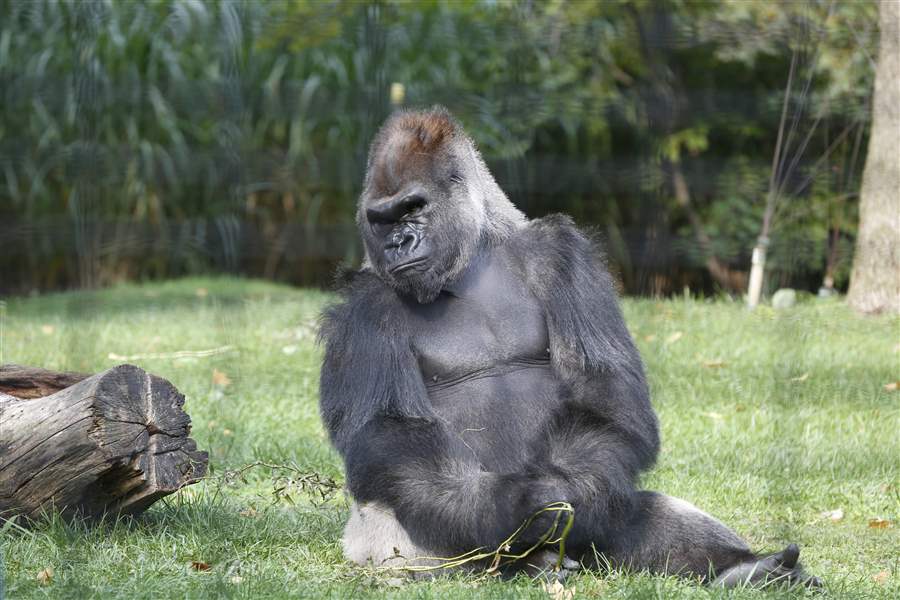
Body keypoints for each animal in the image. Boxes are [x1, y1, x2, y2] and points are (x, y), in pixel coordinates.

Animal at [318, 106, 820, 587]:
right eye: (382, 219)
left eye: (413, 207)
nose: (398, 243)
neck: (470, 260)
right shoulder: (364, 307)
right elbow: (390, 428)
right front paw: (516, 506)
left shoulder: (562, 254)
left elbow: (602, 394)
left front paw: (567, 491)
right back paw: (525, 564)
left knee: (623, 502)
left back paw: (745, 571)